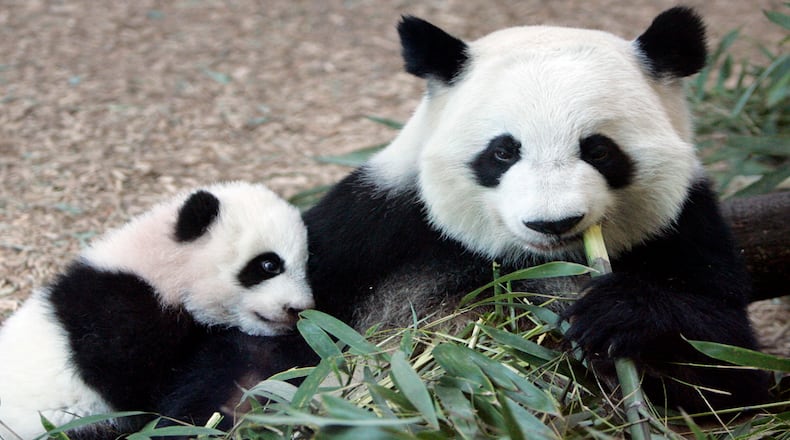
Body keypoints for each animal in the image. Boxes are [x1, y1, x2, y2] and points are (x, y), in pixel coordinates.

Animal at [304, 7, 770, 413]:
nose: (553, 223)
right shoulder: (374, 226)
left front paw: (614, 312)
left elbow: (730, 367)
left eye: (599, 150)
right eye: (503, 151)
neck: (534, 261)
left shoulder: (684, 227)